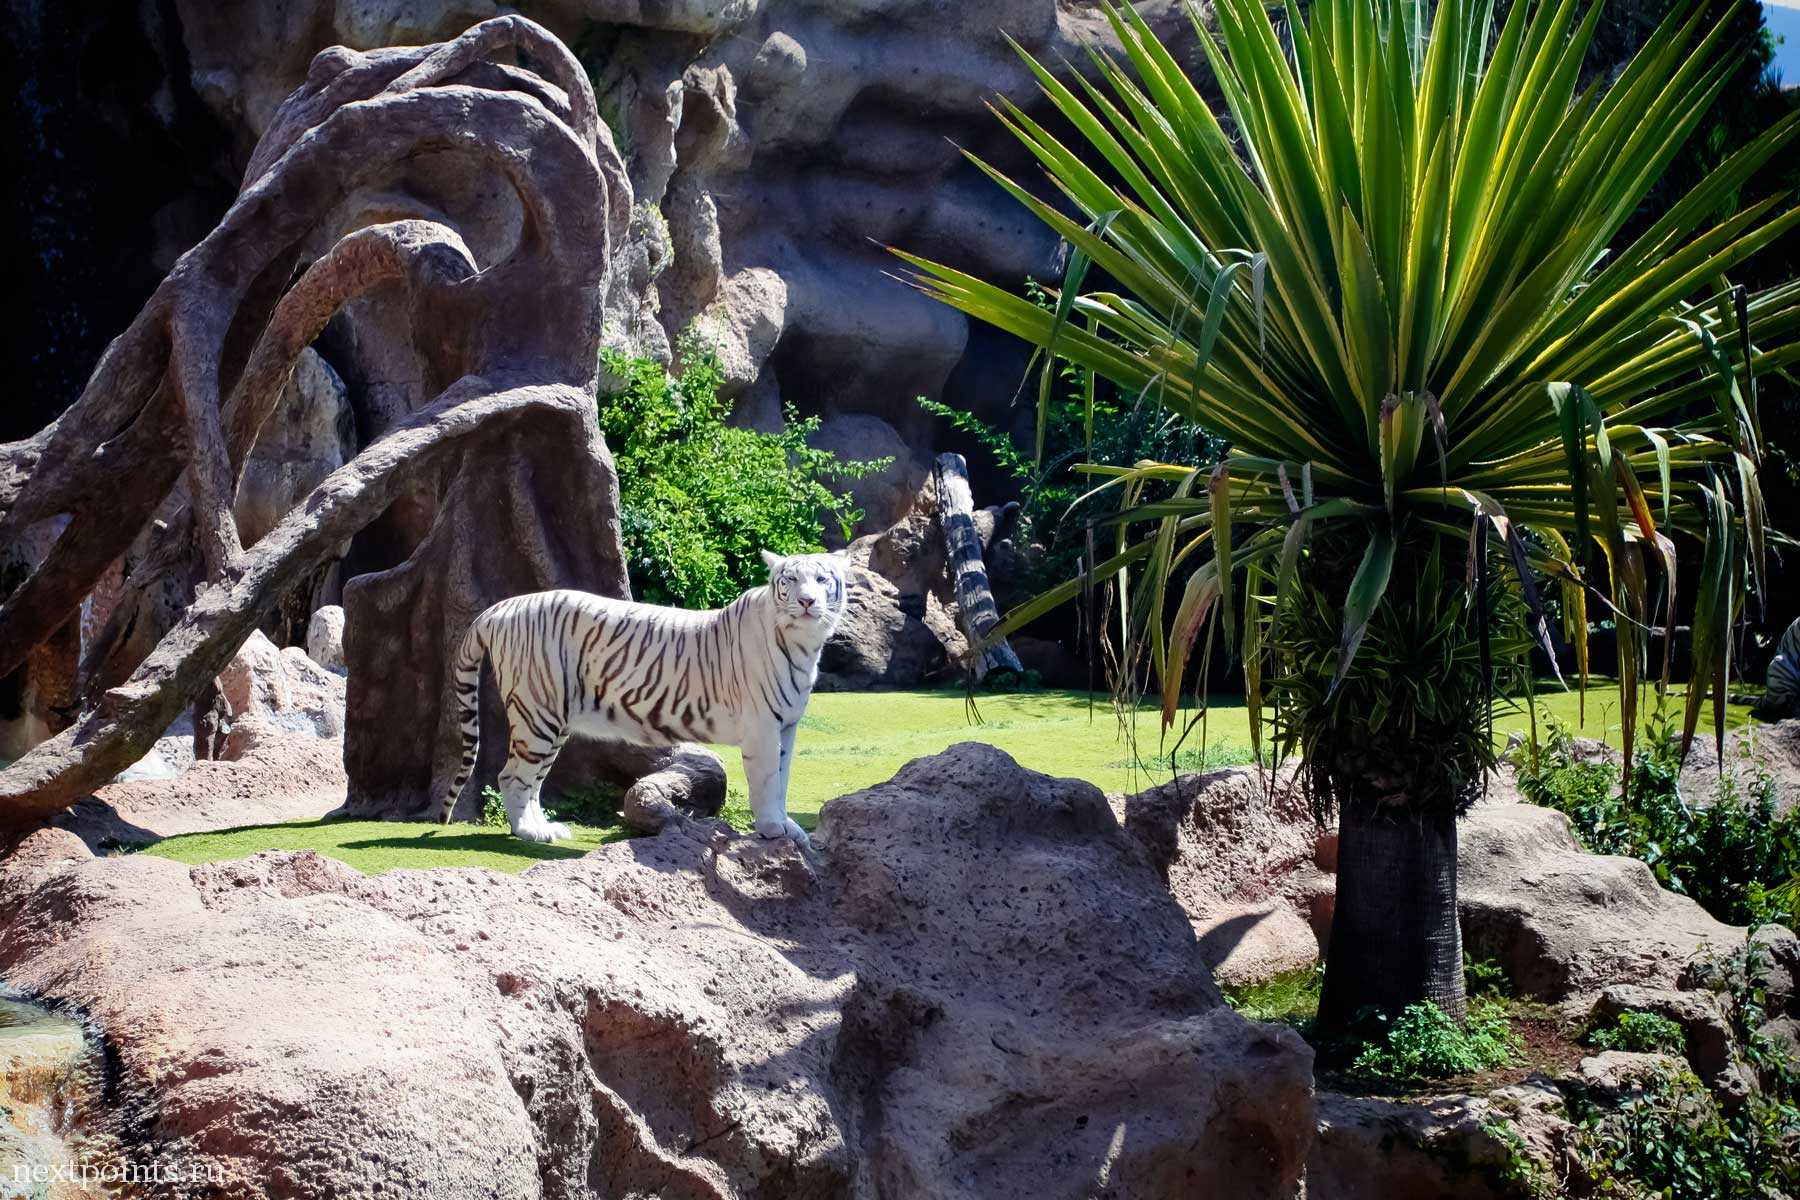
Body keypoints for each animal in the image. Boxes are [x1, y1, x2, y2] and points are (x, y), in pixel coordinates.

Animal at [438, 549, 847, 847]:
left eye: (822, 579)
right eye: (790, 580)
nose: (807, 601)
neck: (804, 643)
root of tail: (501, 607)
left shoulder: (786, 726)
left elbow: (783, 778)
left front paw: (789, 827)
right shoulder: (762, 727)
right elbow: (766, 781)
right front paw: (772, 828)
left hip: (552, 719)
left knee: (533, 779)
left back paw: (547, 829)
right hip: (538, 711)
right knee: (513, 776)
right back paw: (528, 833)